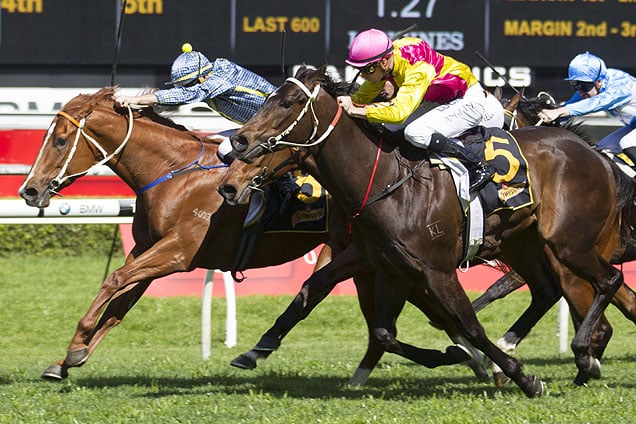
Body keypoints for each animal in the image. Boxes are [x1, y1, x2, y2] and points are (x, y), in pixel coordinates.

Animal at [19, 89, 486, 384]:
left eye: (60, 140)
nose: (30, 190)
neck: (171, 172)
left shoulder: (177, 252)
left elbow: (114, 281)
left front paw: (75, 345)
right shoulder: (151, 253)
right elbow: (118, 305)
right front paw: (66, 360)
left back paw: (471, 357)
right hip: (361, 255)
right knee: (389, 316)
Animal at [217, 65, 632, 398]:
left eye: (287, 103)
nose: (238, 143)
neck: (388, 183)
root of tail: (597, 155)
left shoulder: (436, 271)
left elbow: (470, 326)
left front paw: (521, 377)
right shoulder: (388, 267)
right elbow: (379, 329)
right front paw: (447, 354)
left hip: (569, 243)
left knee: (609, 281)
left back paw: (583, 355)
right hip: (523, 243)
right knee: (548, 290)